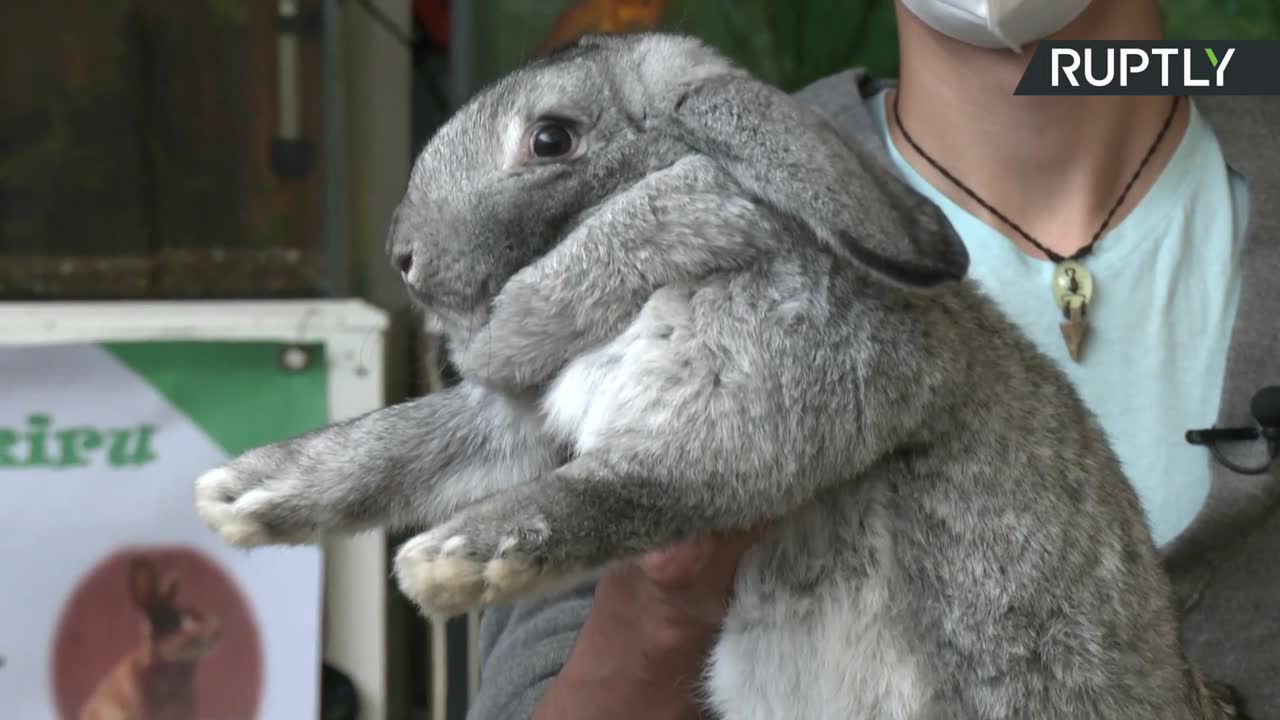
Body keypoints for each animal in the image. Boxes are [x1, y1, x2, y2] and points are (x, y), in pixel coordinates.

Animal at [194, 32, 1244, 717]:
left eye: (551, 139)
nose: (404, 257)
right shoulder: (527, 419)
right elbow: (396, 446)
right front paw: (241, 495)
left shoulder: (739, 423)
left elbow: (615, 491)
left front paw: (448, 562)